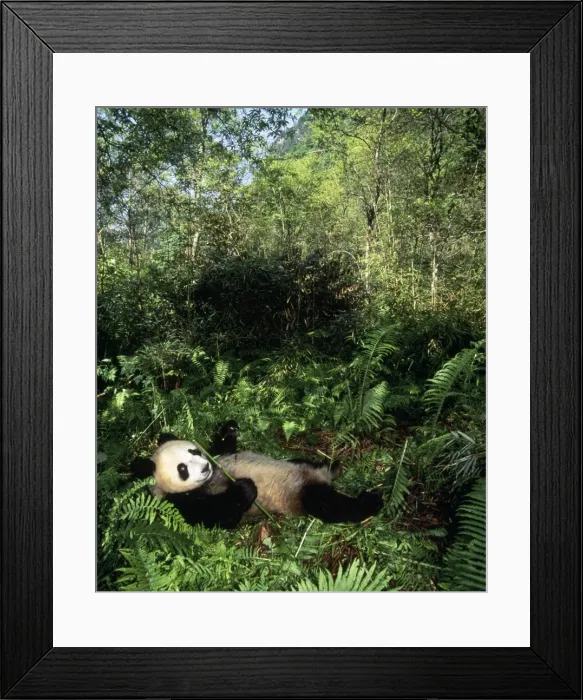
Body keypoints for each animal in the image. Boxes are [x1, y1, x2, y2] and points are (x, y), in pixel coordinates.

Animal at [130, 421, 383, 529]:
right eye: (182, 469)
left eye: (194, 451)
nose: (204, 468)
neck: (212, 478)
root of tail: (322, 478)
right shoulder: (180, 504)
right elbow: (220, 516)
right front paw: (245, 487)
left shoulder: (218, 458)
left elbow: (222, 448)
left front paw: (229, 428)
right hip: (300, 494)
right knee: (328, 505)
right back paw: (370, 501)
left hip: (298, 464)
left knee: (304, 463)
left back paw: (332, 465)